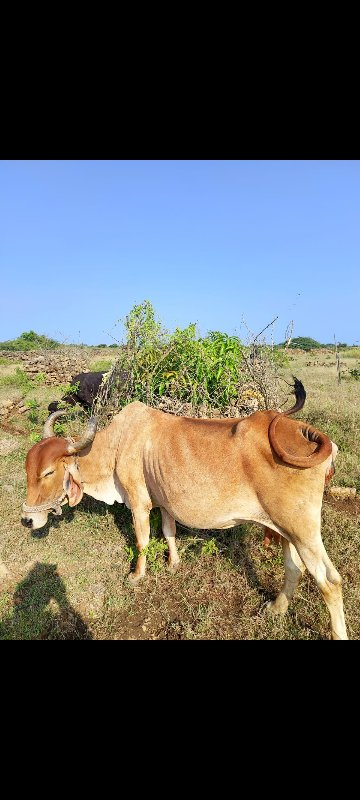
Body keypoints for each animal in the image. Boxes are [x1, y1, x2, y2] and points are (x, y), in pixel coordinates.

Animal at [21, 382, 346, 644]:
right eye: (28, 469)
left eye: (48, 472)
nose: (27, 519)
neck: (117, 444)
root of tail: (308, 433)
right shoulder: (164, 503)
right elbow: (169, 532)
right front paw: (173, 564)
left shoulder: (138, 503)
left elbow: (142, 541)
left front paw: (137, 576)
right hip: (285, 528)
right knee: (295, 568)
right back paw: (276, 609)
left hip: (302, 529)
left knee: (329, 581)